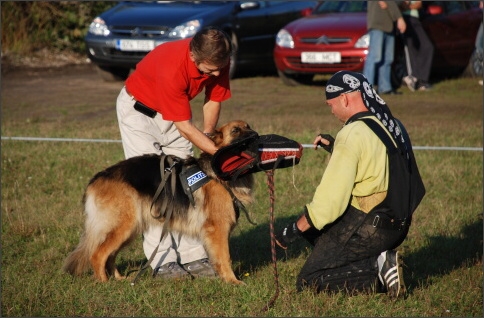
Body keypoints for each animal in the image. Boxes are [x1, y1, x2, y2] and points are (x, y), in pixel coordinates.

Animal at [63, 120, 258, 284]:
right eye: (235, 130)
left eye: (248, 126)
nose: (256, 135)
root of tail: (97, 178)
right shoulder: (218, 229)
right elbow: (225, 257)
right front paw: (232, 281)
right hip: (123, 226)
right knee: (98, 255)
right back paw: (104, 283)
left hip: (129, 229)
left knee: (109, 255)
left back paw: (119, 279)